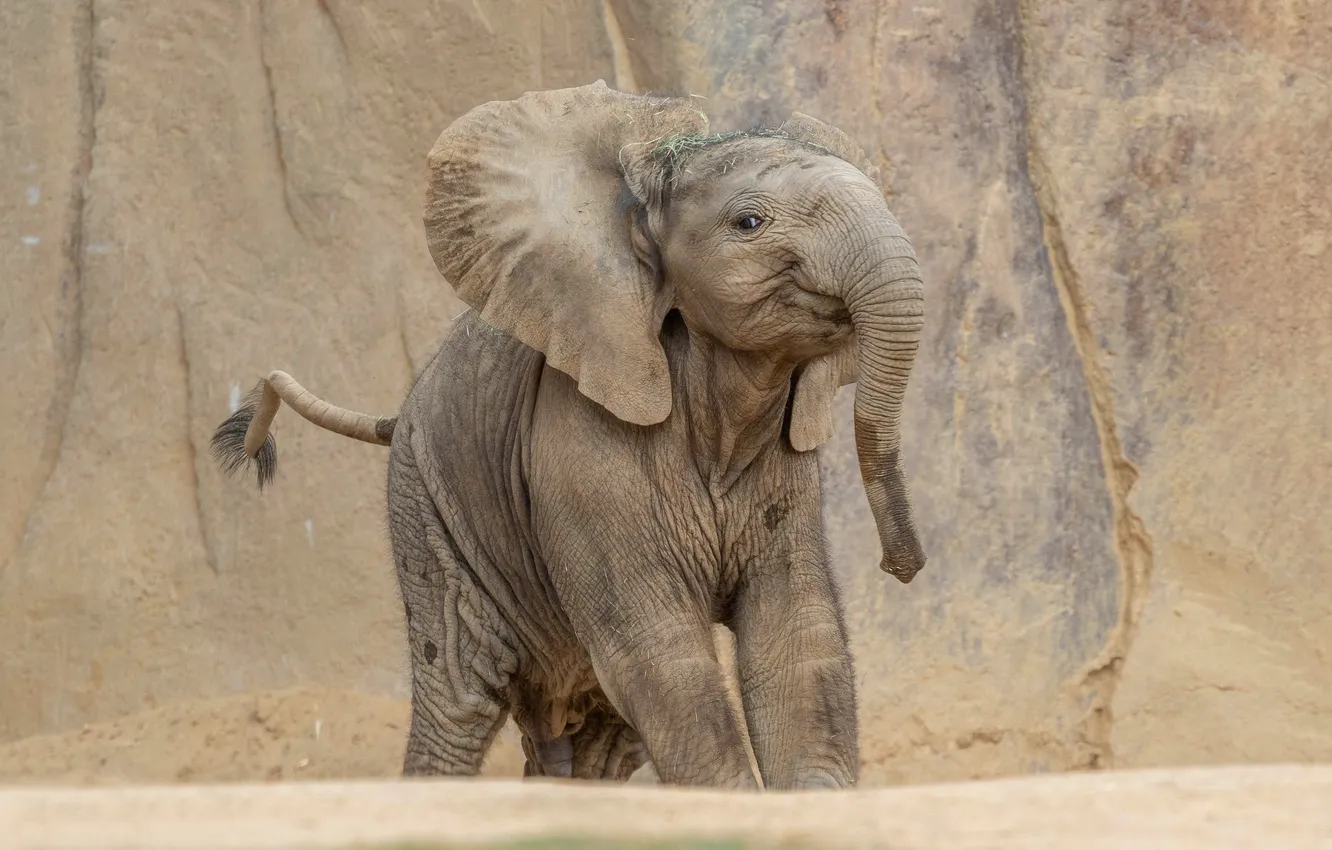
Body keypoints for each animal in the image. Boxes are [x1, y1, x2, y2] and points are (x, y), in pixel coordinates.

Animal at [210, 80, 926, 790]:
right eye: (748, 223)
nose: (903, 567)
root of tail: (402, 409)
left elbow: (798, 644)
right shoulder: (581, 447)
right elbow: (661, 655)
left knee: (601, 737)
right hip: (429, 510)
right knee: (458, 702)